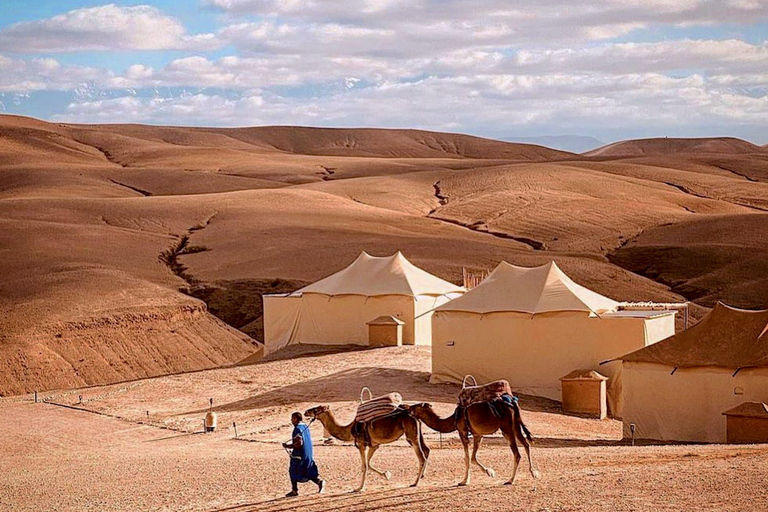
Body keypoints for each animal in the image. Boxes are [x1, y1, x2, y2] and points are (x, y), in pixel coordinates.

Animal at [408, 400, 540, 484]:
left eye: (416, 406)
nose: (407, 408)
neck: (454, 419)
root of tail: (512, 405)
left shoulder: (462, 432)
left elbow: (467, 458)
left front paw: (464, 481)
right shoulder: (477, 435)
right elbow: (472, 458)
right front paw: (489, 472)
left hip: (506, 429)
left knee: (517, 453)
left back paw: (510, 480)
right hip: (515, 426)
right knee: (526, 444)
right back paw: (534, 473)